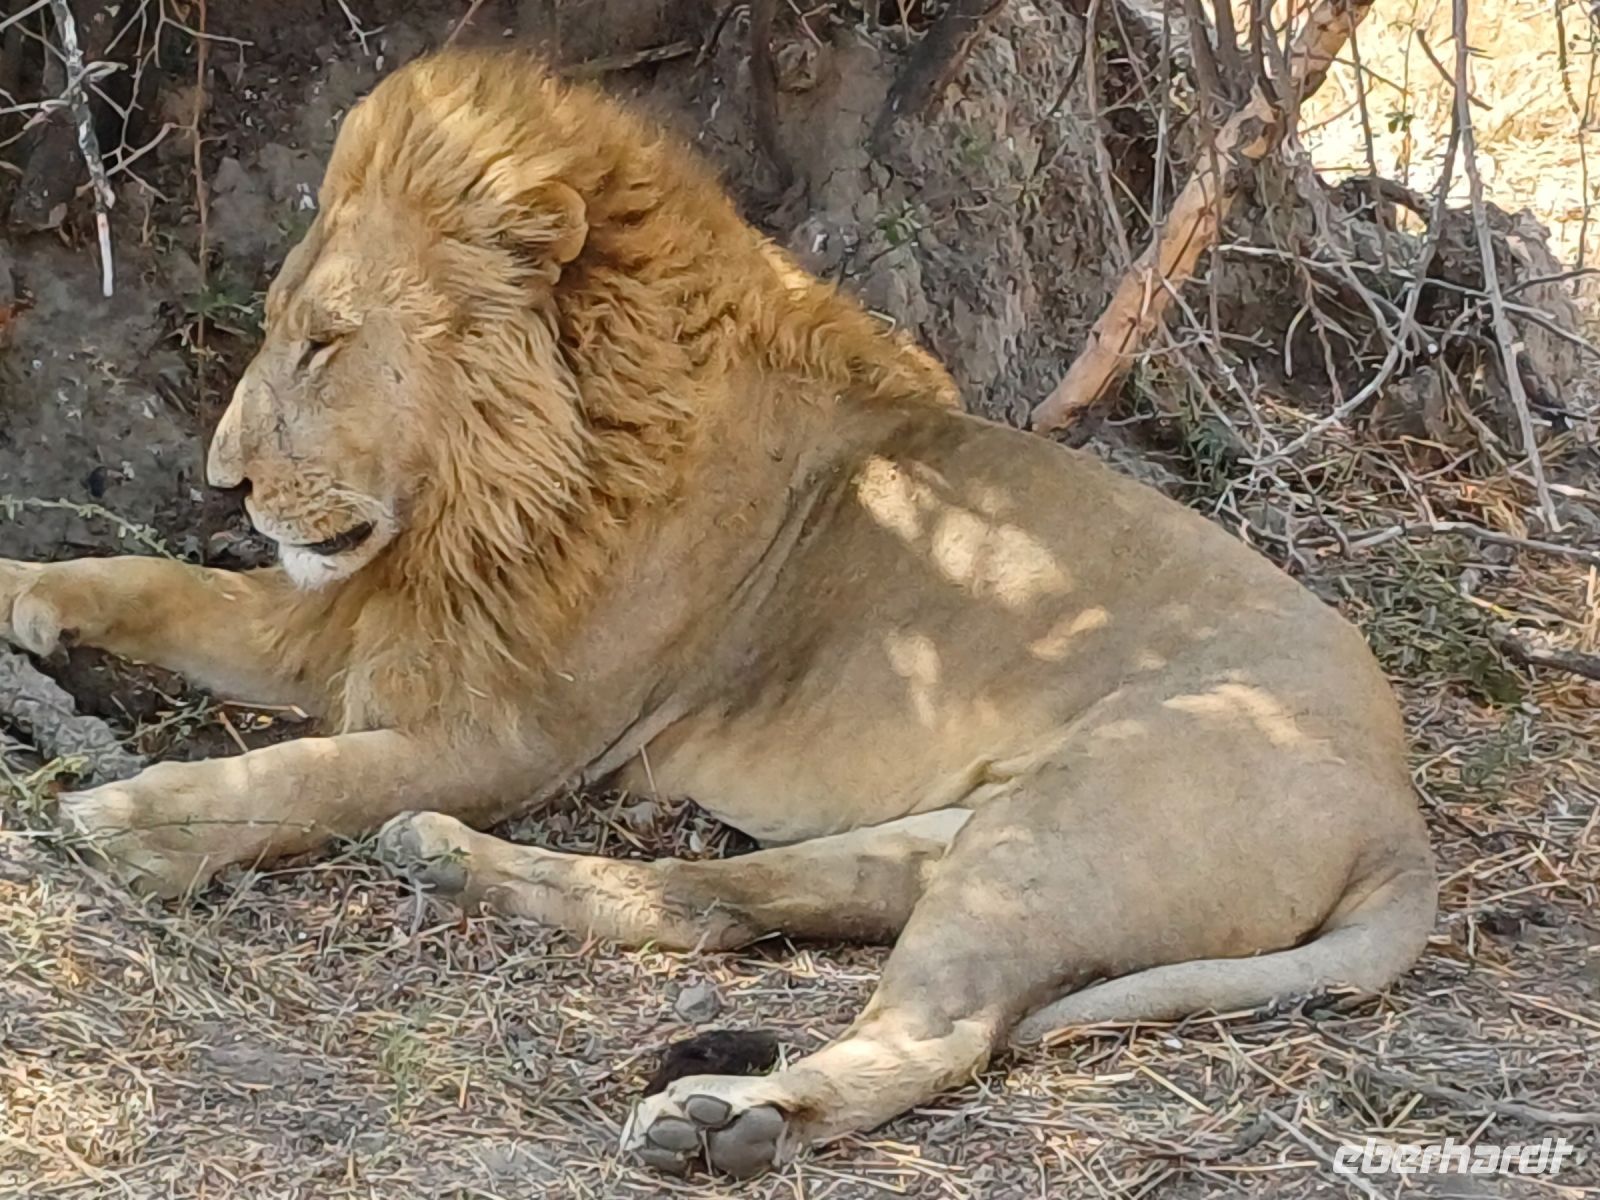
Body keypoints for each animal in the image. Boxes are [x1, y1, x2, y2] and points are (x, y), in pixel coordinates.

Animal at [0, 49, 1435, 1178]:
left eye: (324, 342)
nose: (223, 482)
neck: (492, 492)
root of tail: (1399, 807)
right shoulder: (367, 624)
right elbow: (154, 586)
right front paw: (25, 595)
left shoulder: (513, 732)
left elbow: (305, 775)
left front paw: (129, 821)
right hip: (957, 833)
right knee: (722, 900)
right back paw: (453, 863)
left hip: (1063, 836)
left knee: (938, 1033)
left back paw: (725, 1120)